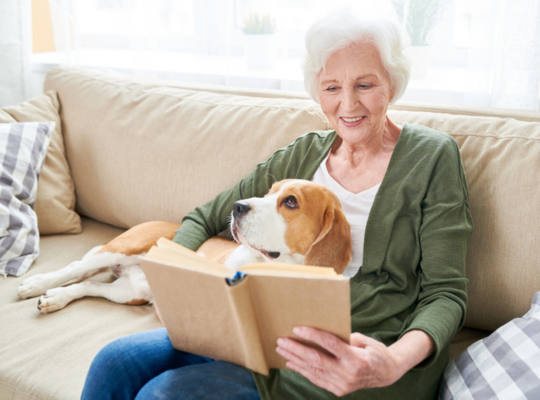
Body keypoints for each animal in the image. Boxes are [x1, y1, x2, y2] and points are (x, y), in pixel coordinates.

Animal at [16, 180, 350, 314]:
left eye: (290, 202)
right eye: (270, 191)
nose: (237, 206)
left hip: (129, 292)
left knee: (87, 286)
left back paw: (56, 298)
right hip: (123, 247)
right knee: (75, 269)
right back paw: (36, 285)